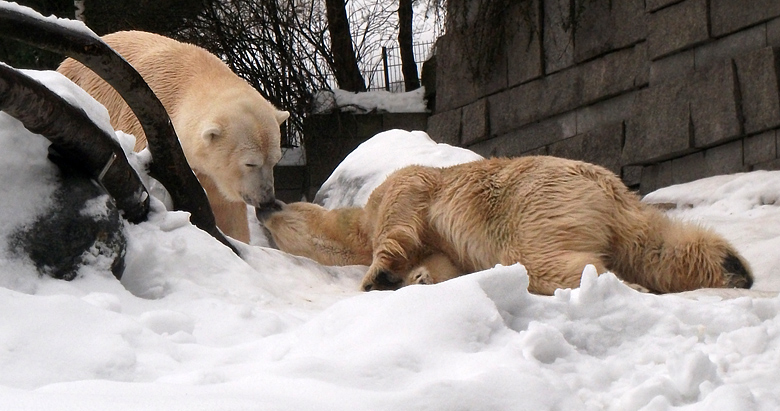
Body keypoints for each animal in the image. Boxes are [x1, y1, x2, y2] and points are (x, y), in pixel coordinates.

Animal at [258, 156, 752, 294]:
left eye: (277, 217)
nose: (262, 205)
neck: (364, 218)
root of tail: (608, 190)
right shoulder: (439, 245)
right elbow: (444, 264)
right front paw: (416, 278)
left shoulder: (405, 187)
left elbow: (400, 224)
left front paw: (378, 275)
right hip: (601, 210)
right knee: (658, 245)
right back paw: (734, 268)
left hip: (536, 204)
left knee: (536, 260)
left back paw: (617, 285)